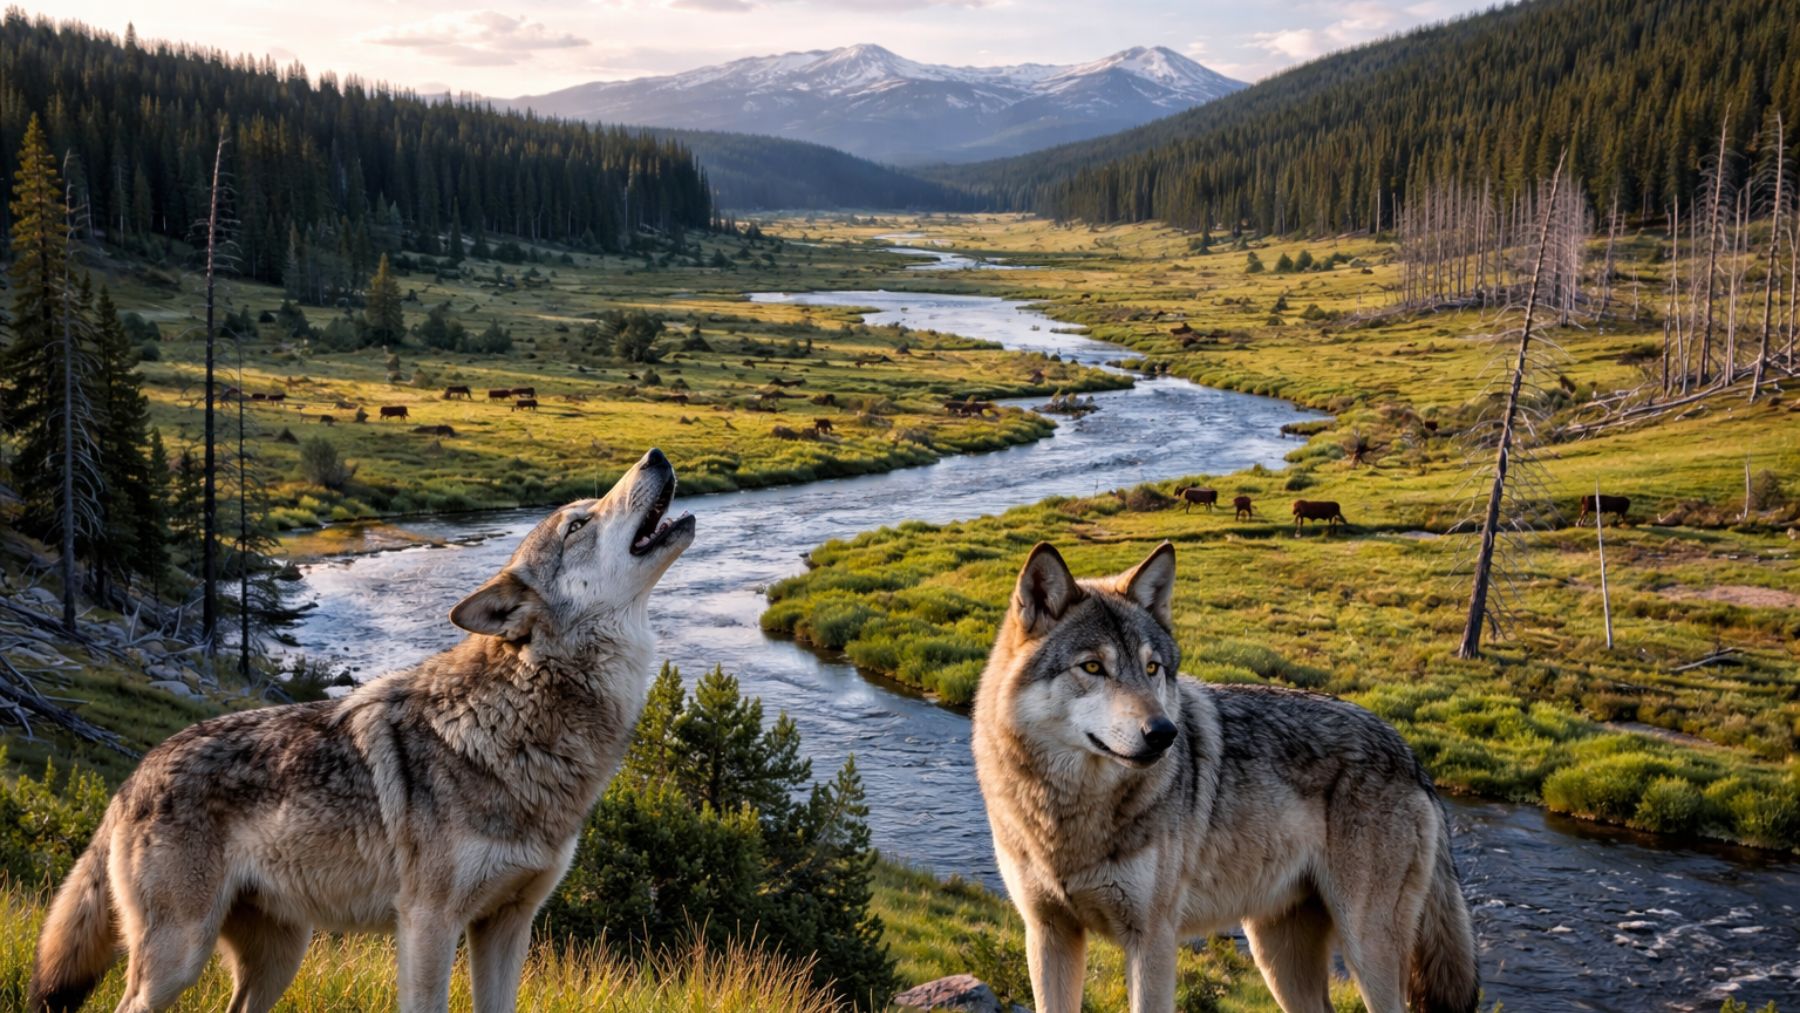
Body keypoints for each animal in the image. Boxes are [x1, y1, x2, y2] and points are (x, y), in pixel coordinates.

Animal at [29, 448, 697, 1013]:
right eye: (579, 523)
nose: (657, 455)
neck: (518, 717)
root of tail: (132, 777)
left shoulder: (508, 924)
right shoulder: (428, 923)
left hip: (279, 957)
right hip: (179, 959)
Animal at [971, 542, 1477, 1013]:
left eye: (1153, 668)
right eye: (1093, 666)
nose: (1164, 734)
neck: (1071, 810)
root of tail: (1410, 754)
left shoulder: (1152, 941)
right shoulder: (1048, 932)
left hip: (1364, 948)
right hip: (1277, 955)